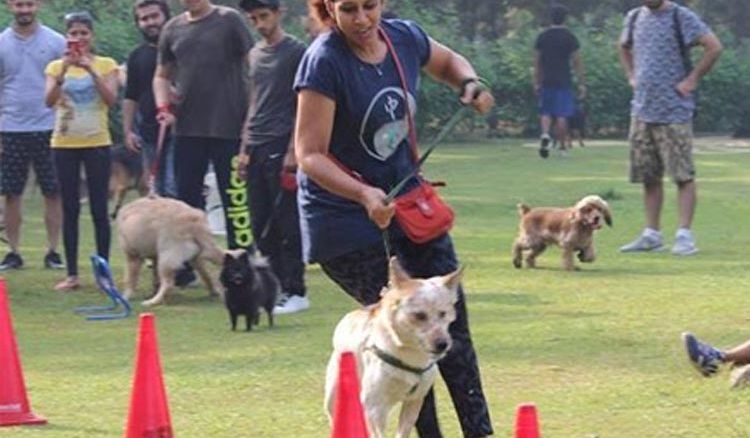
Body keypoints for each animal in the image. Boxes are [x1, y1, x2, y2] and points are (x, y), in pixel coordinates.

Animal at [324, 256, 462, 438]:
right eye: (419, 315)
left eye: (443, 314)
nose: (442, 344)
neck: (407, 354)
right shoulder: (374, 407)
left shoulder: (414, 401)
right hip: (334, 397)